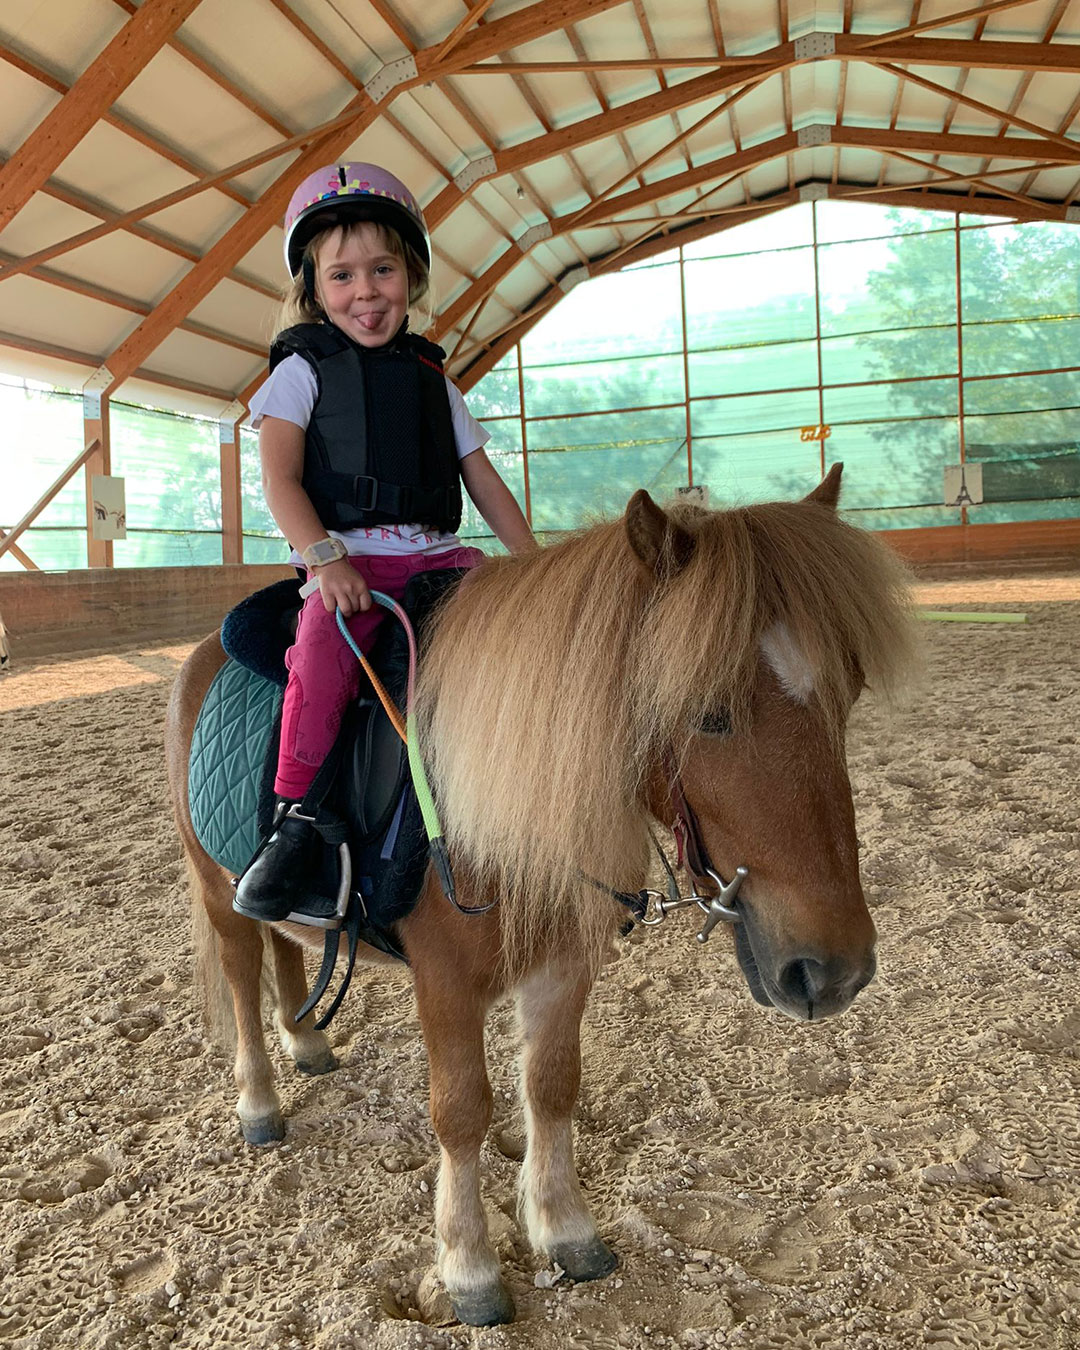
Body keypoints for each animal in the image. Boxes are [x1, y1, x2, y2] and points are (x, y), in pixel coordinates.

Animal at [164, 465, 916, 1327]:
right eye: (708, 713)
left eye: (849, 695)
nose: (836, 971)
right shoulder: (445, 982)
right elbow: (461, 1110)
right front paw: (469, 1267)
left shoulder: (562, 964)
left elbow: (552, 1086)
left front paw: (565, 1228)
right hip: (216, 893)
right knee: (241, 975)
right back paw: (259, 1101)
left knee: (290, 947)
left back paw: (308, 1042)